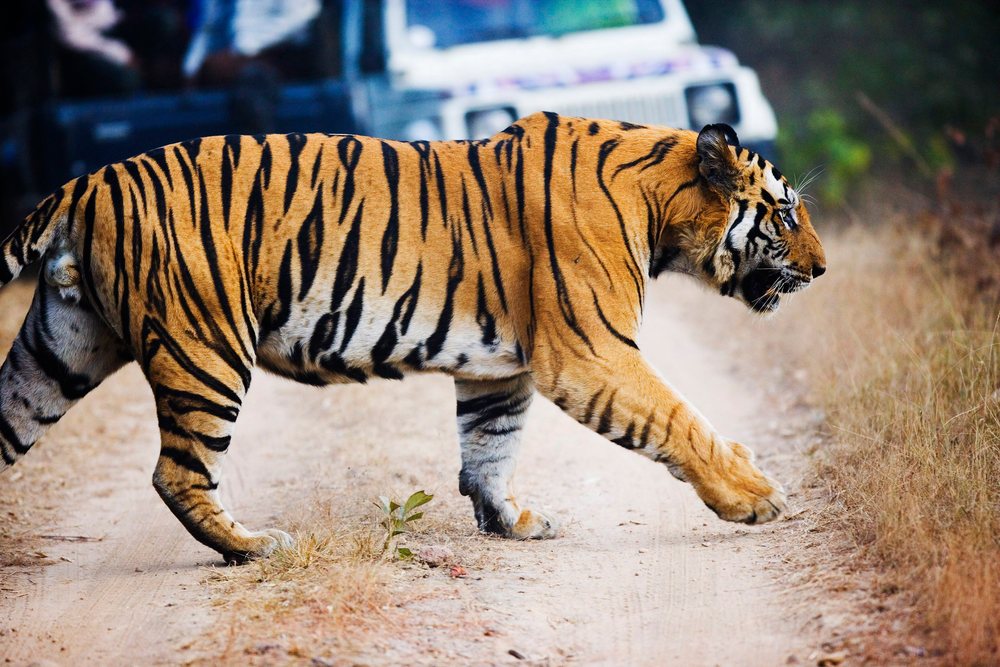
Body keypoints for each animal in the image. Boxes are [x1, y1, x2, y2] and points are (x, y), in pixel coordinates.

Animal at [0, 112, 825, 563]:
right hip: (206, 348)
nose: (822, 269)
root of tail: (84, 184)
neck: (661, 204)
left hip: (60, 349)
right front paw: (755, 496)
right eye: (786, 213)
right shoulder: (591, 351)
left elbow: (489, 446)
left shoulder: (503, 365)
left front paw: (511, 521)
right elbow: (680, 419)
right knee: (177, 473)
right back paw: (253, 546)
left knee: (14, 421)